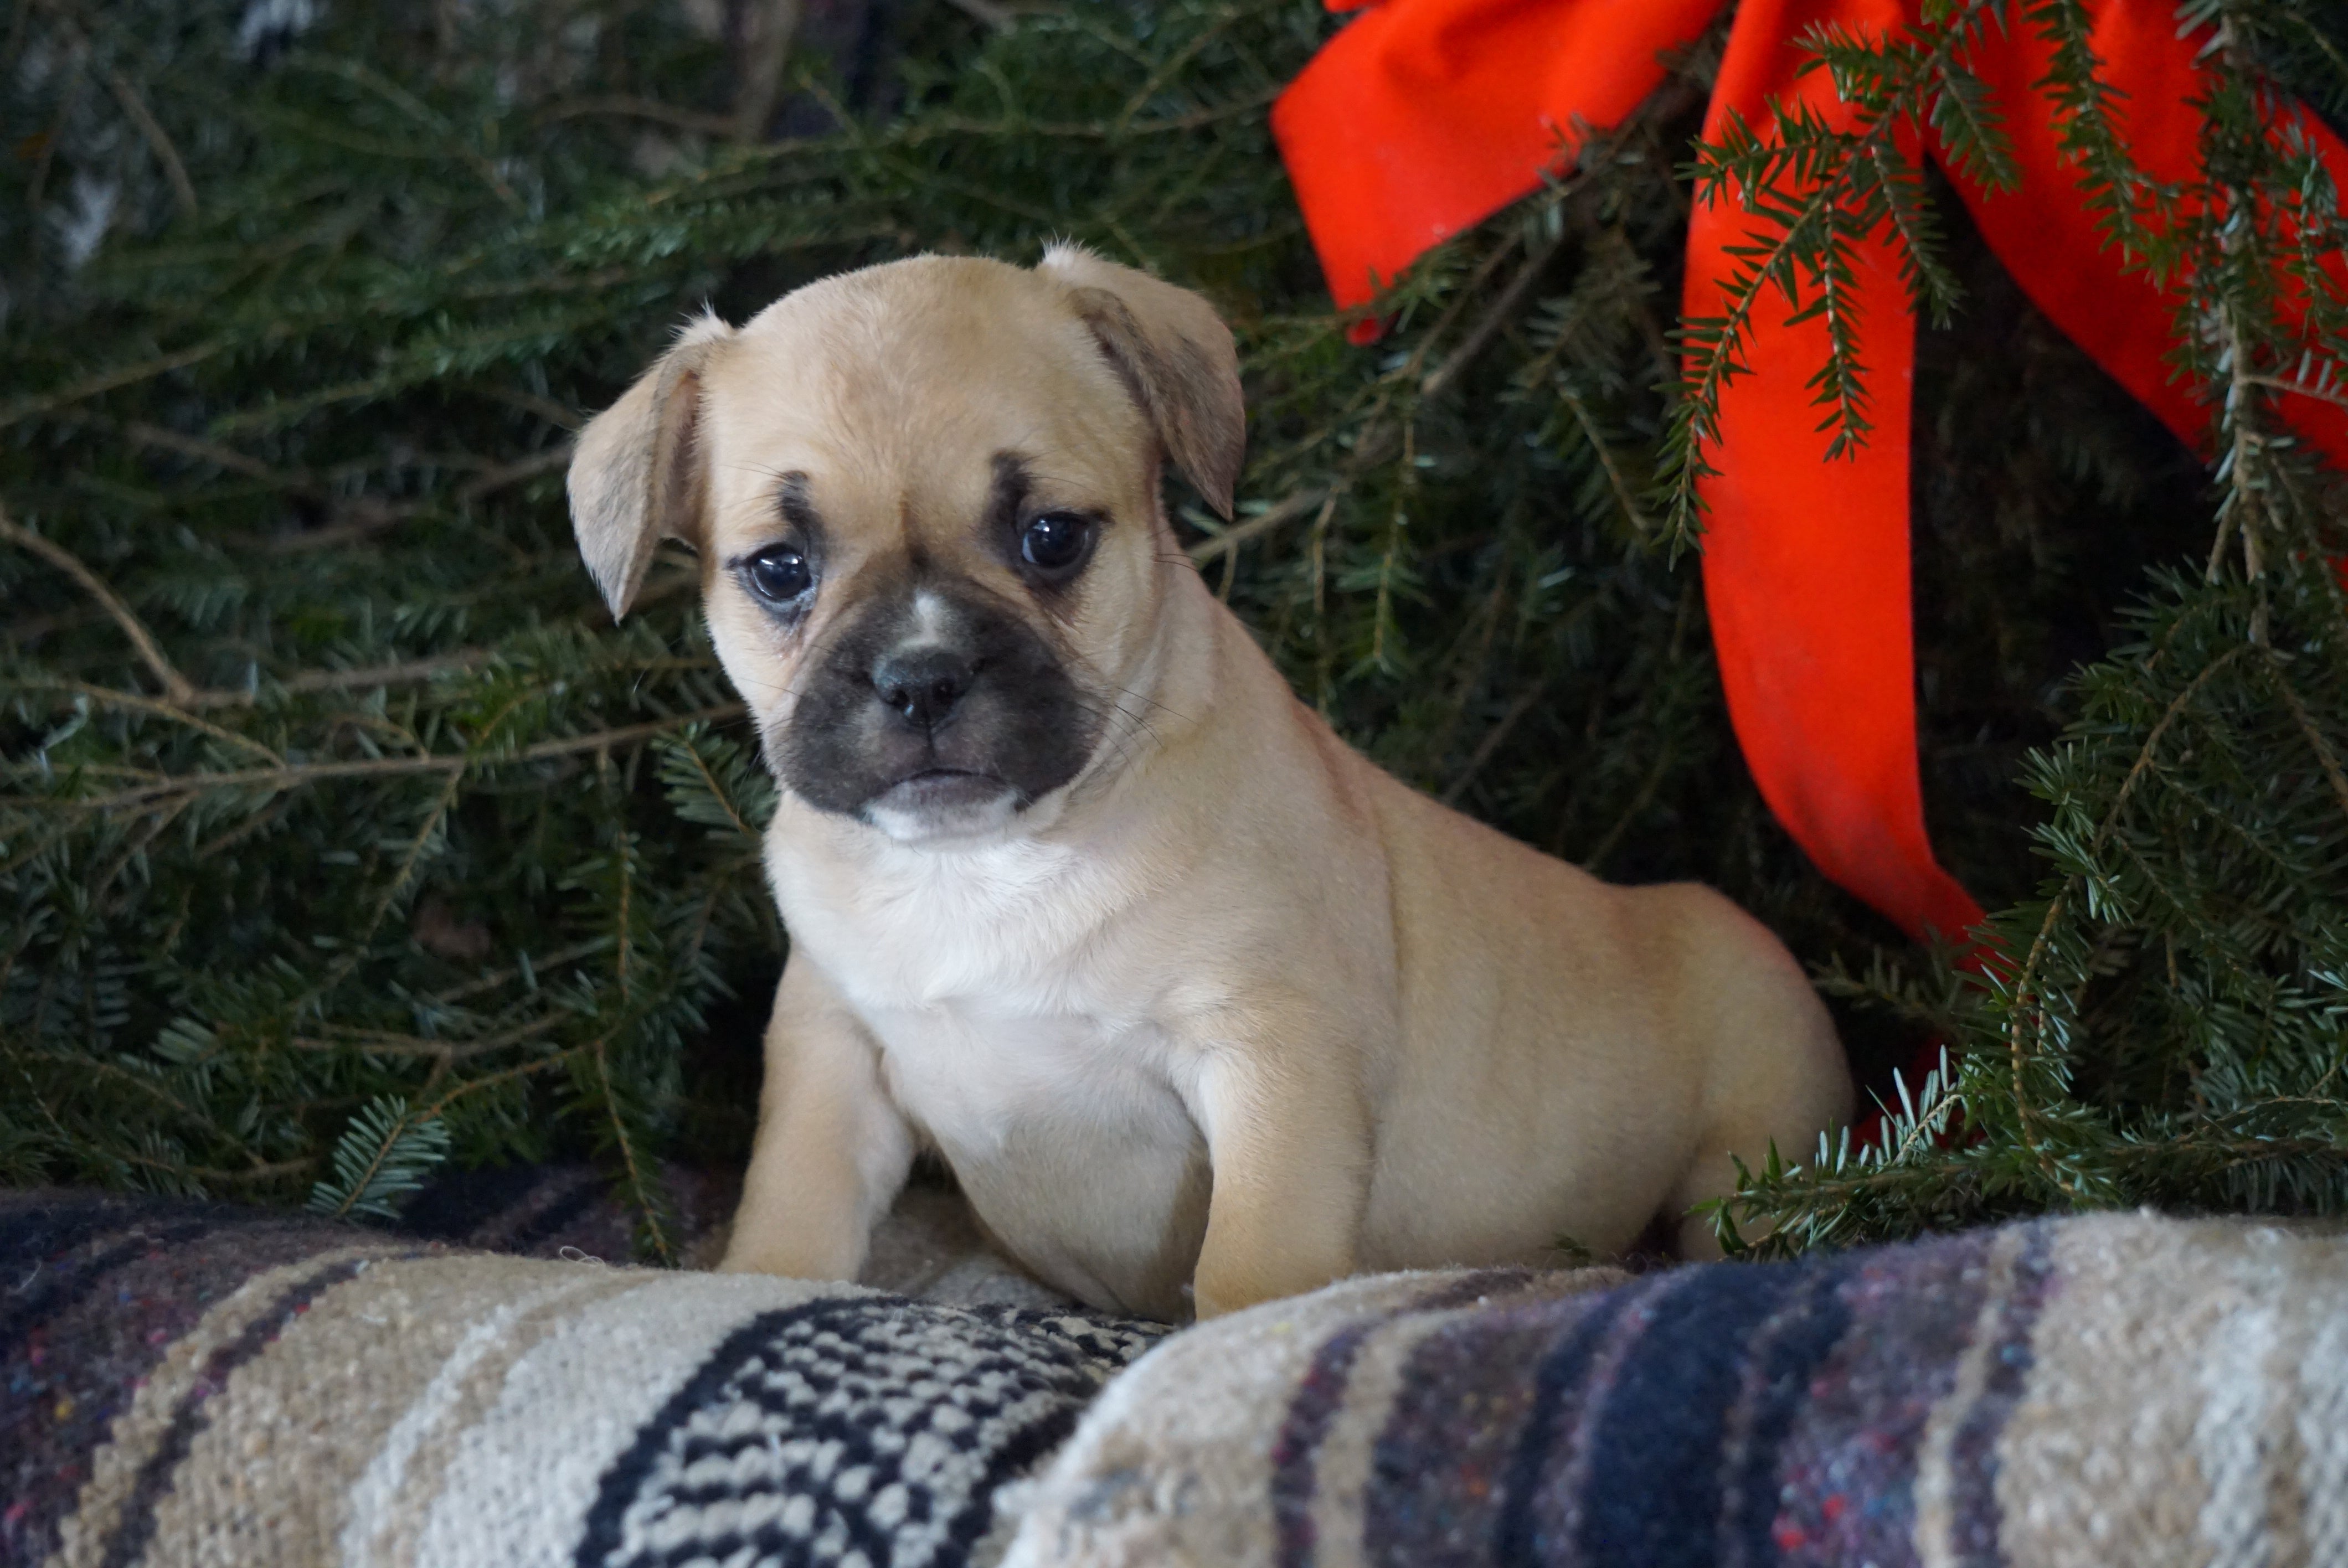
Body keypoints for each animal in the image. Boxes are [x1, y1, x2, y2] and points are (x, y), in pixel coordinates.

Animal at [568, 247, 1850, 1324]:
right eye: (780, 570)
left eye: (1050, 538)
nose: (921, 675)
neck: (983, 861)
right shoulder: (834, 1051)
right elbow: (796, 1202)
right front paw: (758, 1280)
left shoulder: (1271, 1055)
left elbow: (1250, 1262)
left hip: (1752, 1130)